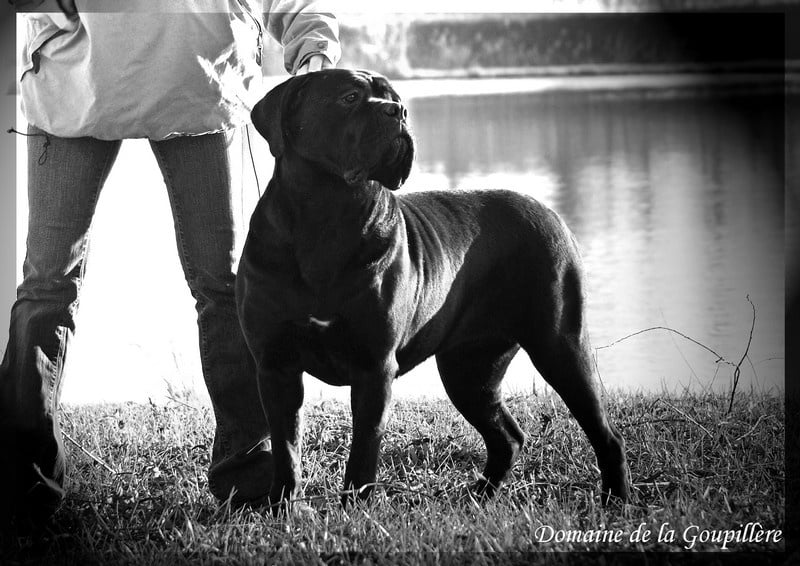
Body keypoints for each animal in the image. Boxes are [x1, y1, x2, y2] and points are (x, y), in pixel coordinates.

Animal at [236, 69, 632, 512]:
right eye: (349, 97)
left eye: (393, 97)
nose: (398, 111)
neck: (325, 215)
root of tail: (549, 212)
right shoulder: (275, 365)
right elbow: (285, 447)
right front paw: (281, 507)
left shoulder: (374, 367)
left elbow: (364, 448)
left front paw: (354, 511)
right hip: (469, 369)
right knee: (508, 436)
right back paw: (481, 495)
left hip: (560, 343)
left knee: (605, 434)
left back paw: (616, 500)